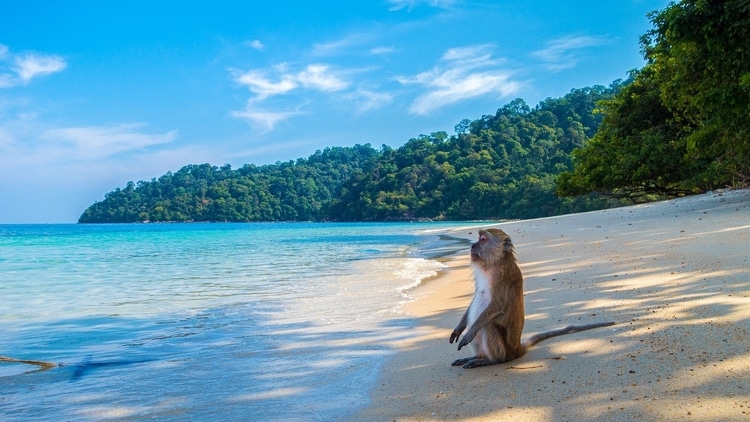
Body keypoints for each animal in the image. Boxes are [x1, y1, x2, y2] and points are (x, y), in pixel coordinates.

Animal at [450, 227, 612, 370]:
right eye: (478, 238)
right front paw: (459, 328)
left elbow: (497, 305)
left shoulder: (502, 276)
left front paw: (470, 332)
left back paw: (490, 360)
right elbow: (476, 297)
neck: (494, 263)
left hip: (505, 351)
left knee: (488, 325)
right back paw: (477, 357)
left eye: (483, 239)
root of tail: (516, 350)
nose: (472, 245)